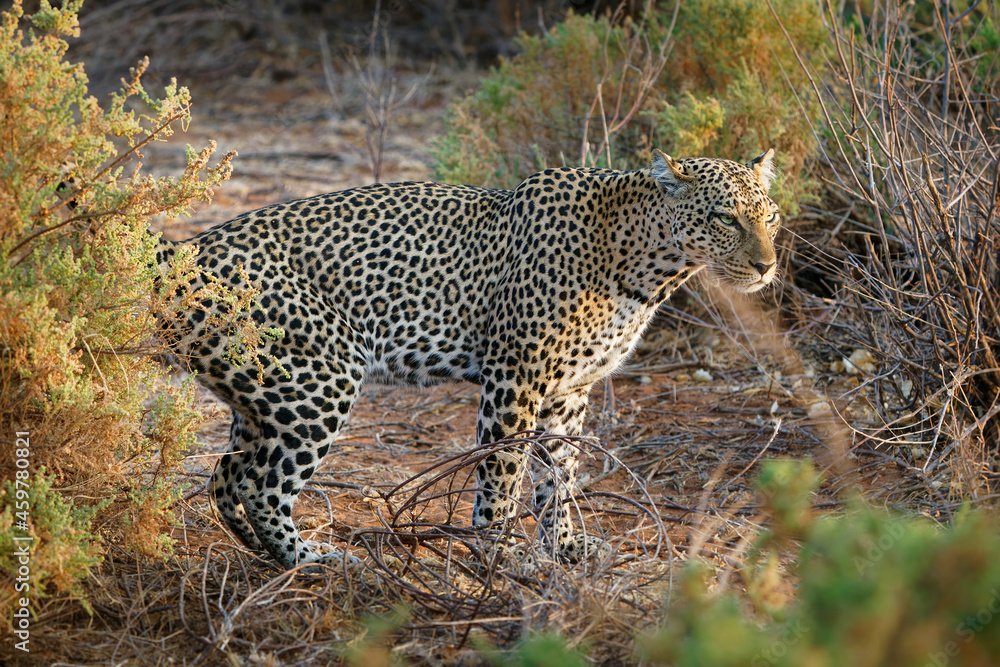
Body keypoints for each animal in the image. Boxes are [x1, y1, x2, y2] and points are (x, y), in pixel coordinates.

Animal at [154, 148, 781, 570]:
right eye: (726, 218)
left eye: (770, 216)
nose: (768, 265)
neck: (647, 267)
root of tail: (184, 251)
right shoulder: (516, 377)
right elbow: (503, 473)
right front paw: (500, 553)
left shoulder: (569, 391)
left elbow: (560, 475)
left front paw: (565, 547)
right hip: (321, 381)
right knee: (261, 486)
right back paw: (310, 559)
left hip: (262, 394)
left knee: (226, 478)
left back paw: (263, 554)